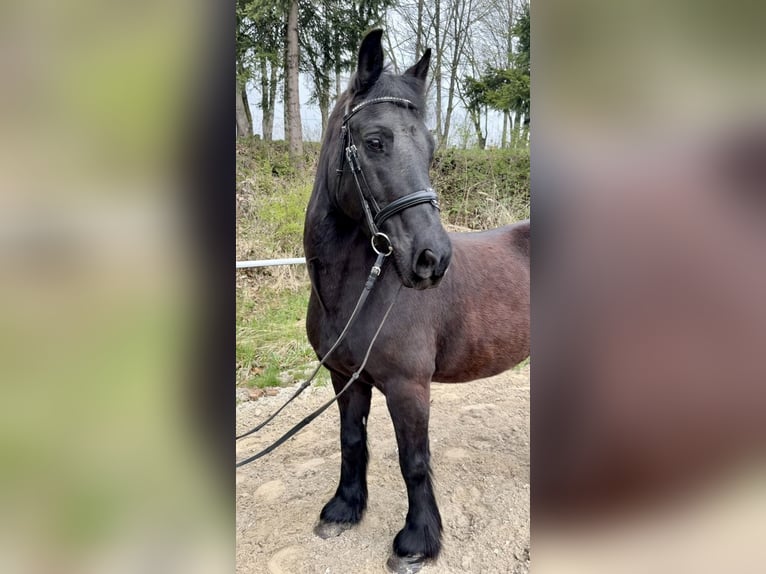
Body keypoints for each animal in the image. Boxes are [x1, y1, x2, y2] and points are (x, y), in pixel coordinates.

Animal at [303, 29, 530, 573]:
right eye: (374, 141)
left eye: (428, 147)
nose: (433, 259)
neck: (358, 291)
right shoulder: (344, 377)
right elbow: (352, 441)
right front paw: (343, 508)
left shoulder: (408, 387)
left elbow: (414, 460)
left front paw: (417, 541)